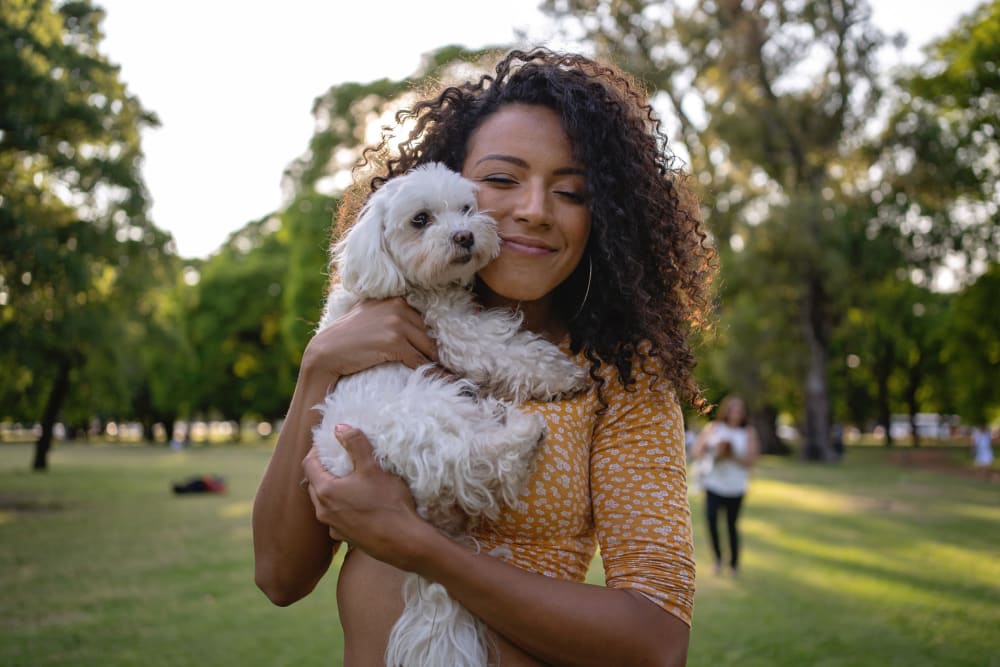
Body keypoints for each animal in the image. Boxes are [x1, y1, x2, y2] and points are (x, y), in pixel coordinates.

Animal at [314, 163, 584, 667]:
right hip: (427, 407)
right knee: (484, 458)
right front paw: (565, 374)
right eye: (420, 220)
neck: (407, 284)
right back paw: (520, 429)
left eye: (466, 208)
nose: (464, 236)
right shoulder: (453, 329)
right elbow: (507, 347)